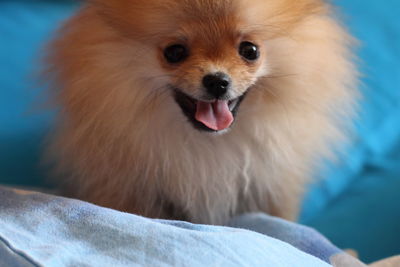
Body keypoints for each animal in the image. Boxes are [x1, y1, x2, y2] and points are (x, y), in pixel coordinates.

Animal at [46, 0, 356, 226]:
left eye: (250, 50)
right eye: (174, 52)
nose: (217, 81)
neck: (208, 147)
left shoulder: (269, 190)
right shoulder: (127, 191)